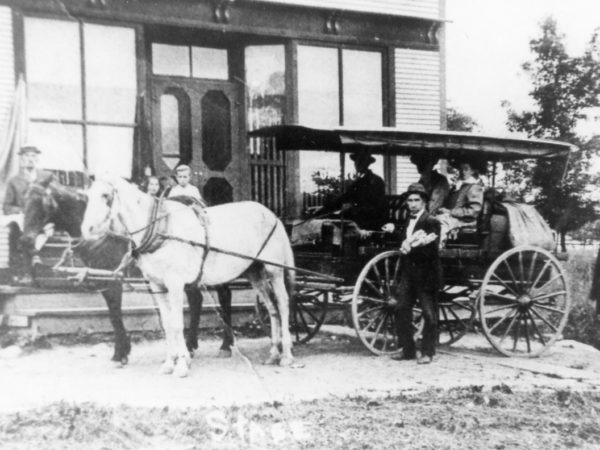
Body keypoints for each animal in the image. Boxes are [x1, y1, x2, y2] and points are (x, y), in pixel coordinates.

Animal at [79, 176, 296, 376]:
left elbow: (177, 324)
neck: (161, 229)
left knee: (283, 304)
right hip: (254, 272)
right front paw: (169, 362)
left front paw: (182, 363)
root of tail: (273, 215)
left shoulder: (175, 284)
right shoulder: (157, 285)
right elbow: (167, 324)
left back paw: (286, 355)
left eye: (105, 195)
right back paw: (273, 354)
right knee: (271, 307)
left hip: (274, 270)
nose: (87, 229)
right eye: (87, 196)